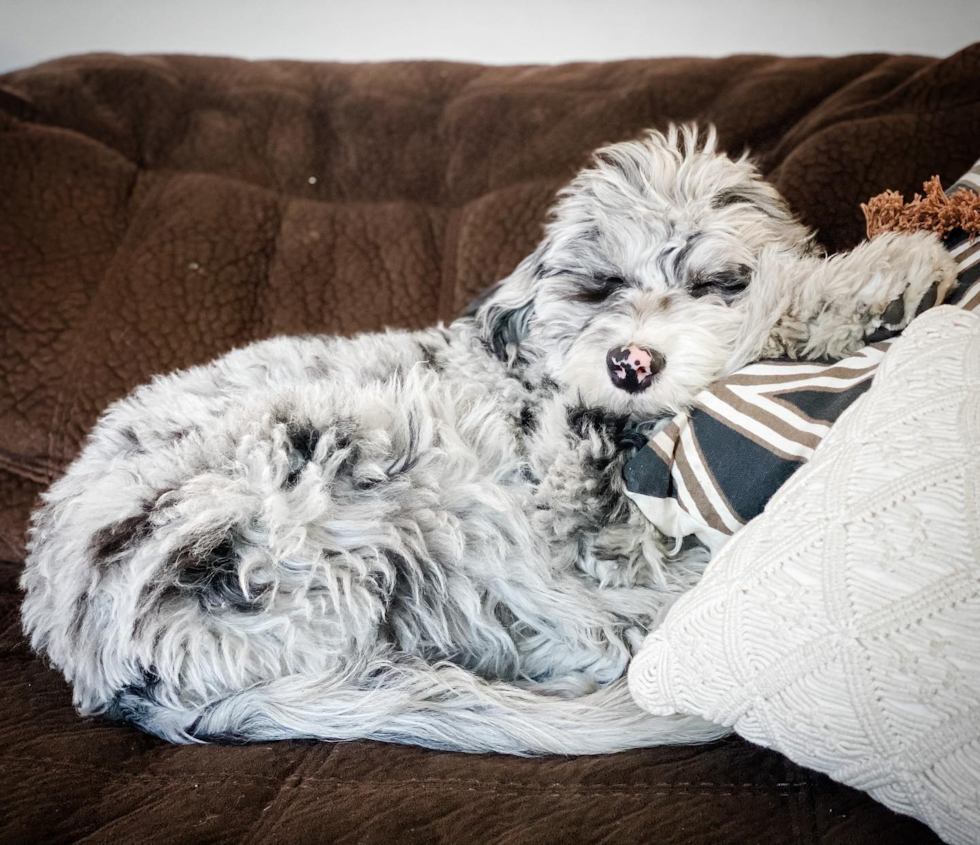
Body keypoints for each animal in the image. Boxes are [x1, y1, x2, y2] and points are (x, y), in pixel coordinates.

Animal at [21, 123, 956, 752]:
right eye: (599, 285)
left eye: (711, 280)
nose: (630, 363)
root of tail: (101, 666)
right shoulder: (583, 507)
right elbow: (770, 313)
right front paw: (878, 275)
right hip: (366, 491)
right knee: (582, 640)